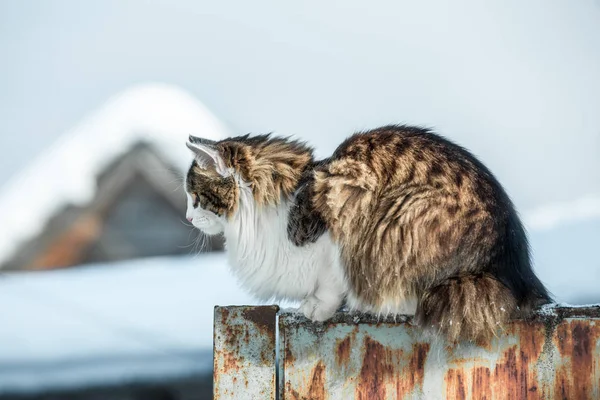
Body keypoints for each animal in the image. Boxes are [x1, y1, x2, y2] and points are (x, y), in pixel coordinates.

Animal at [184, 126, 552, 344]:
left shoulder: (338, 208)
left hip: (401, 215)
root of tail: (515, 271)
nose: (188, 217)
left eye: (196, 196)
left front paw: (318, 307)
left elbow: (330, 281)